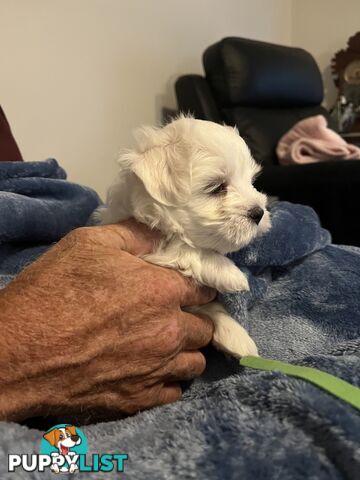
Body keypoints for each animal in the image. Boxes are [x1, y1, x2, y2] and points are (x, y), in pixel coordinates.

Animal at [95, 115, 270, 356]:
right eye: (216, 187)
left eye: (251, 182)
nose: (259, 213)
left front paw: (235, 335)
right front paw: (228, 272)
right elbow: (183, 247)